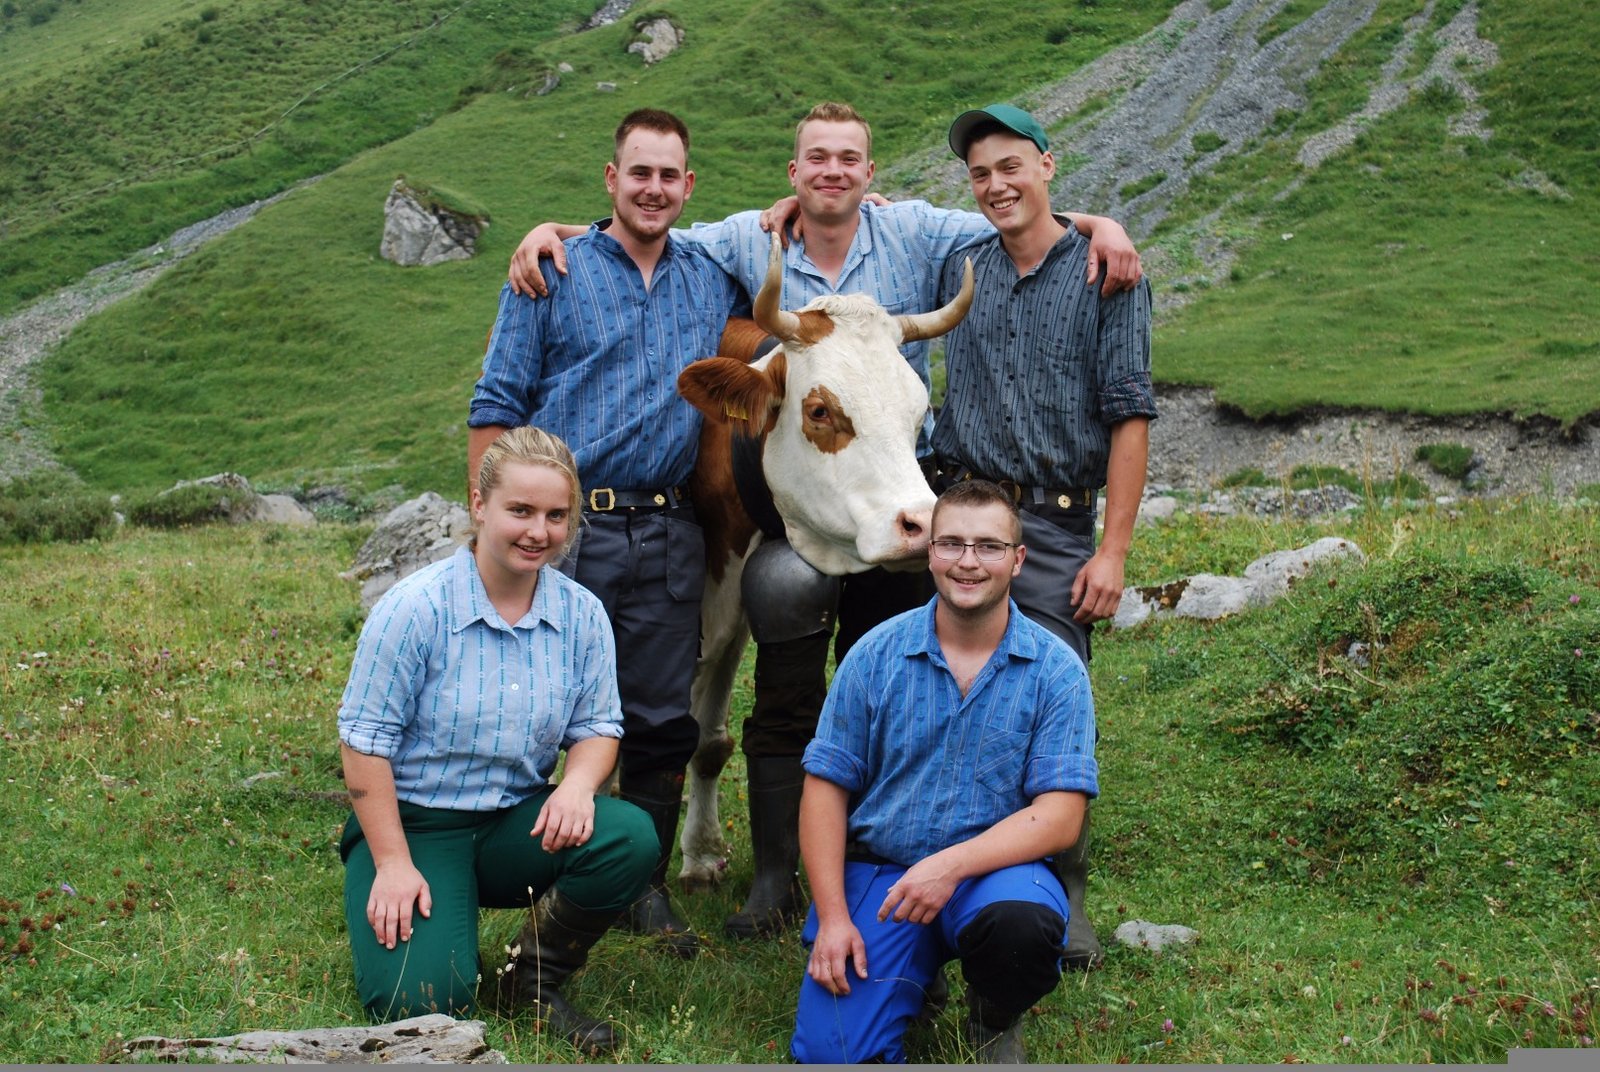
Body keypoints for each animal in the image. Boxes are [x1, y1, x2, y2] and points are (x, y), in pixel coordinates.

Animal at [671, 236, 973, 888]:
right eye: (819, 412)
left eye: (918, 412)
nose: (921, 526)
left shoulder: (728, 624)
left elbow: (707, 742)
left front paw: (700, 854)